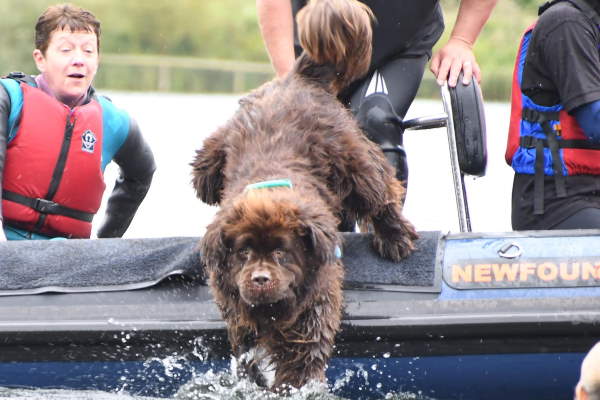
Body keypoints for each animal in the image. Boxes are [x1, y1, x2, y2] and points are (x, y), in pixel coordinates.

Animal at [192, 0, 418, 390]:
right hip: (209, 161)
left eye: (282, 253)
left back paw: (395, 238)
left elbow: (301, 358)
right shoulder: (236, 307)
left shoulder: (314, 304)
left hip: (352, 156)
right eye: (243, 252)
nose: (260, 279)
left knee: (380, 190)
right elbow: (246, 350)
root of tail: (298, 78)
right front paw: (252, 379)